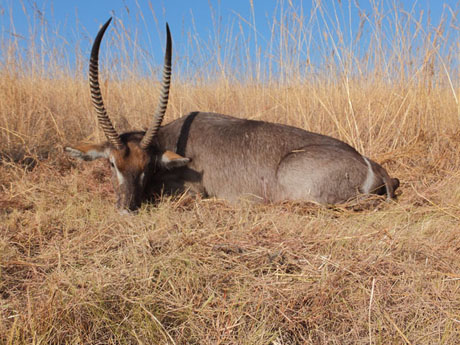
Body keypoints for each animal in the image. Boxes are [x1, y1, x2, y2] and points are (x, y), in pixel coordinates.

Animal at [64, 18, 398, 212]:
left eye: (147, 166)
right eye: (112, 163)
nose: (127, 207)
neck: (170, 140)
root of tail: (369, 163)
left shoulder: (191, 190)